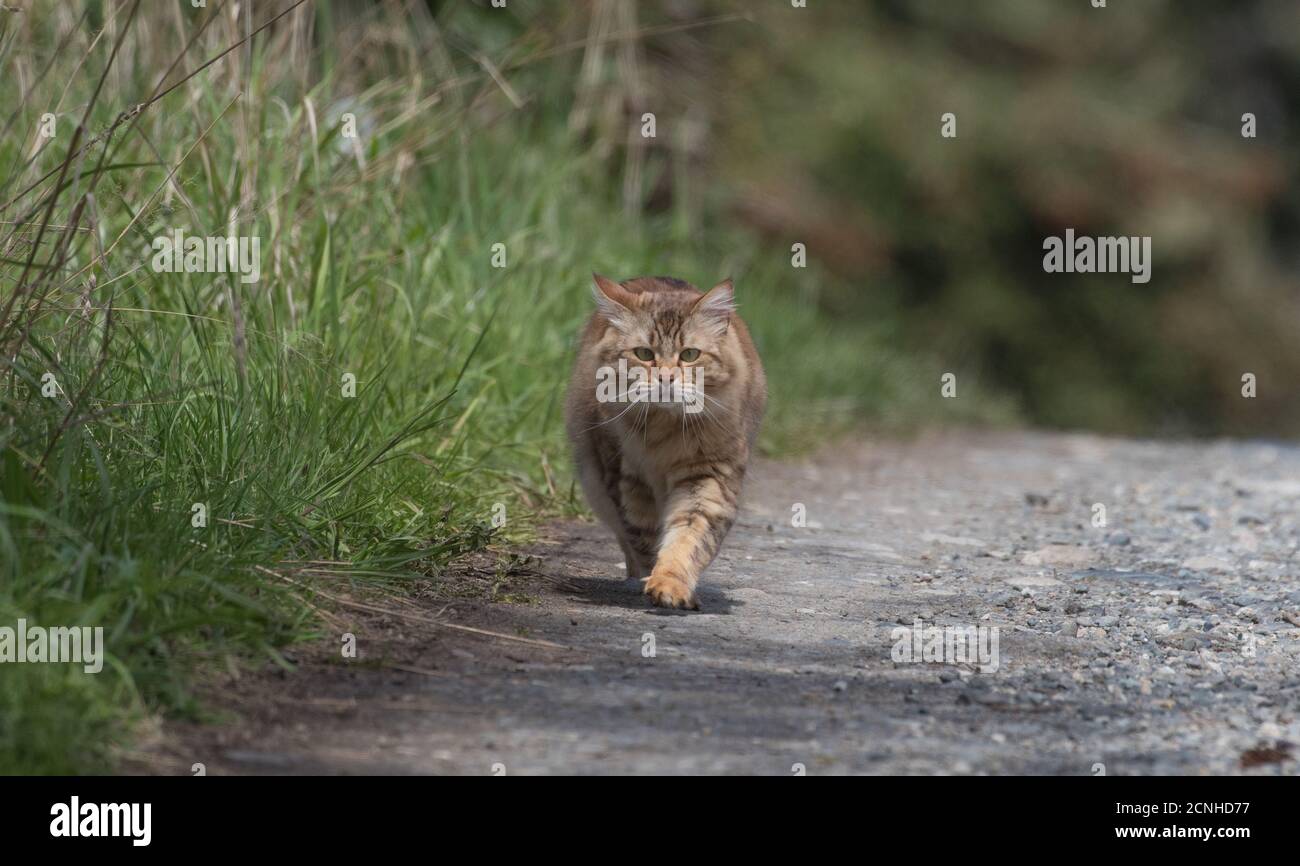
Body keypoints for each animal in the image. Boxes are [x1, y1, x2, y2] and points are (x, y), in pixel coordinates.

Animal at [564, 271, 764, 605]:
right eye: (644, 354)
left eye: (690, 355)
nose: (666, 379)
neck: (665, 431)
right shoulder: (626, 477)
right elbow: (644, 537)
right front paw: (648, 578)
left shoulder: (709, 477)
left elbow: (688, 539)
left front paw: (669, 585)